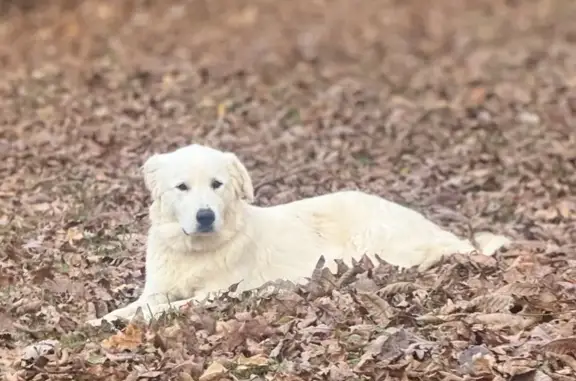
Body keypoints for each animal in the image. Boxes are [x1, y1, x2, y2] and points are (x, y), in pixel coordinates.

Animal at [88, 144, 510, 326]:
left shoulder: (218, 293)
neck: (195, 249)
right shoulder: (157, 288)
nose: (205, 216)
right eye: (182, 188)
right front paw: (104, 319)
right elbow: (138, 305)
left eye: (216, 184)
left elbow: (165, 309)